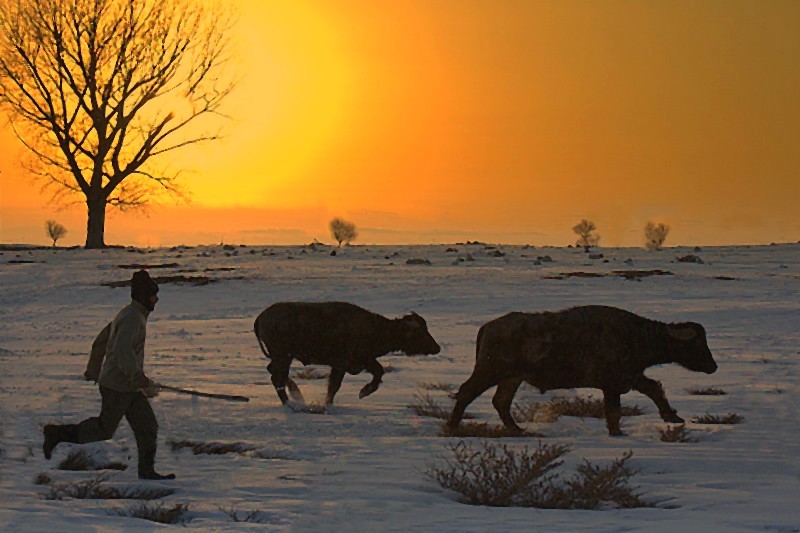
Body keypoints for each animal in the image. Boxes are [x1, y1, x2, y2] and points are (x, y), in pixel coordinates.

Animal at [255, 302, 440, 406]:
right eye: (419, 332)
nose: (437, 348)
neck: (377, 328)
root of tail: (261, 318)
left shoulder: (366, 361)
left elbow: (379, 373)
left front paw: (364, 392)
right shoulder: (341, 365)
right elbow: (334, 386)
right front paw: (330, 403)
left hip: (283, 357)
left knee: (275, 373)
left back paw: (296, 397)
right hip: (283, 356)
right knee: (277, 377)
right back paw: (291, 403)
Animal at [450, 306, 720, 434]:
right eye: (697, 343)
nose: (713, 366)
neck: (637, 335)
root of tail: (488, 326)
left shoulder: (632, 378)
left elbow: (654, 390)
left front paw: (673, 417)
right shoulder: (613, 384)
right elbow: (614, 411)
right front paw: (617, 432)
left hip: (511, 378)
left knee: (501, 402)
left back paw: (518, 430)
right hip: (489, 372)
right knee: (466, 393)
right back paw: (453, 427)